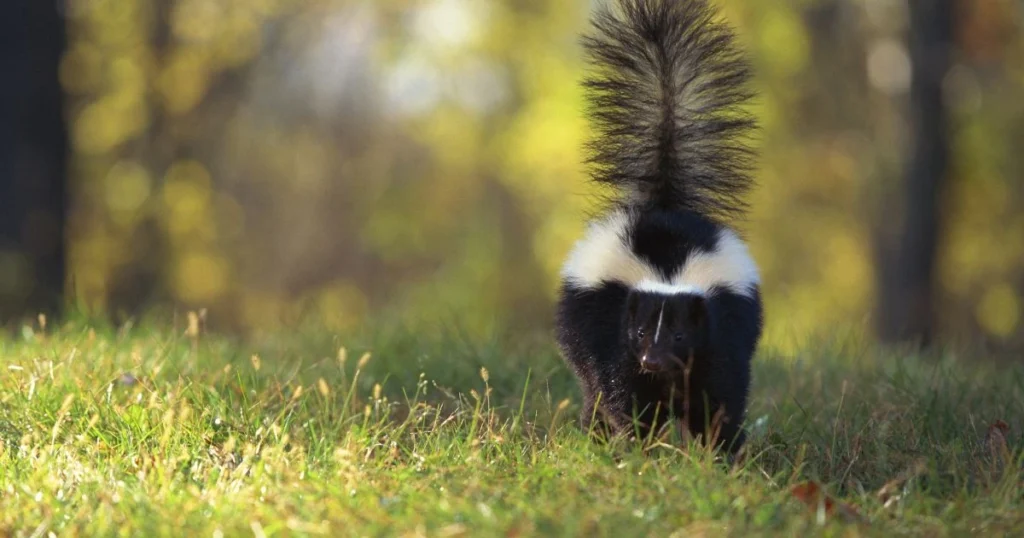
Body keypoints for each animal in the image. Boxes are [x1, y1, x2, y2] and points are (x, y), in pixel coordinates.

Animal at [557, 0, 765, 452]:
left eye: (680, 336)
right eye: (639, 333)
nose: (652, 360)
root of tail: (663, 205)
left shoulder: (722, 332)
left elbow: (718, 397)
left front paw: (717, 451)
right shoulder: (611, 327)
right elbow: (620, 390)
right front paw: (640, 444)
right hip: (579, 322)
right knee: (591, 388)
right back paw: (596, 434)